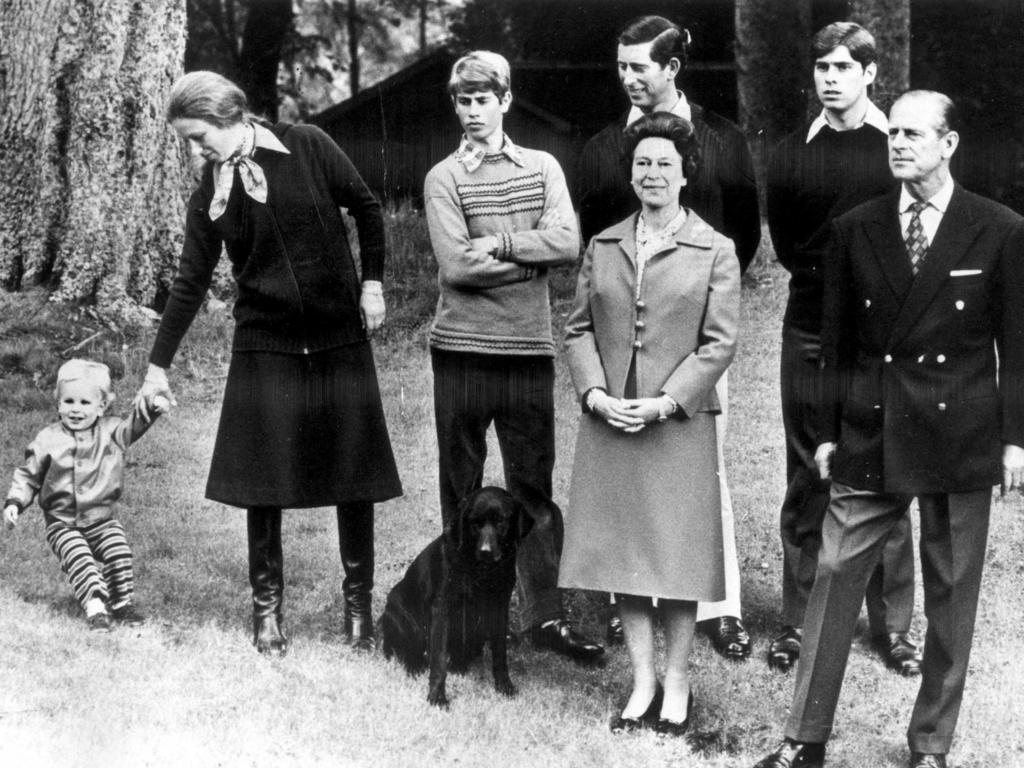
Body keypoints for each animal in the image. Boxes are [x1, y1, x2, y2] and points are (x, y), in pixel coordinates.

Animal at [380, 487, 532, 708]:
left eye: (501, 522)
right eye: (475, 523)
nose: (485, 552)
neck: (481, 572)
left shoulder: (500, 606)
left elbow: (500, 655)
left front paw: (504, 686)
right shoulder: (442, 608)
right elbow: (438, 661)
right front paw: (437, 697)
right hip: (404, 616)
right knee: (408, 652)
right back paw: (416, 667)